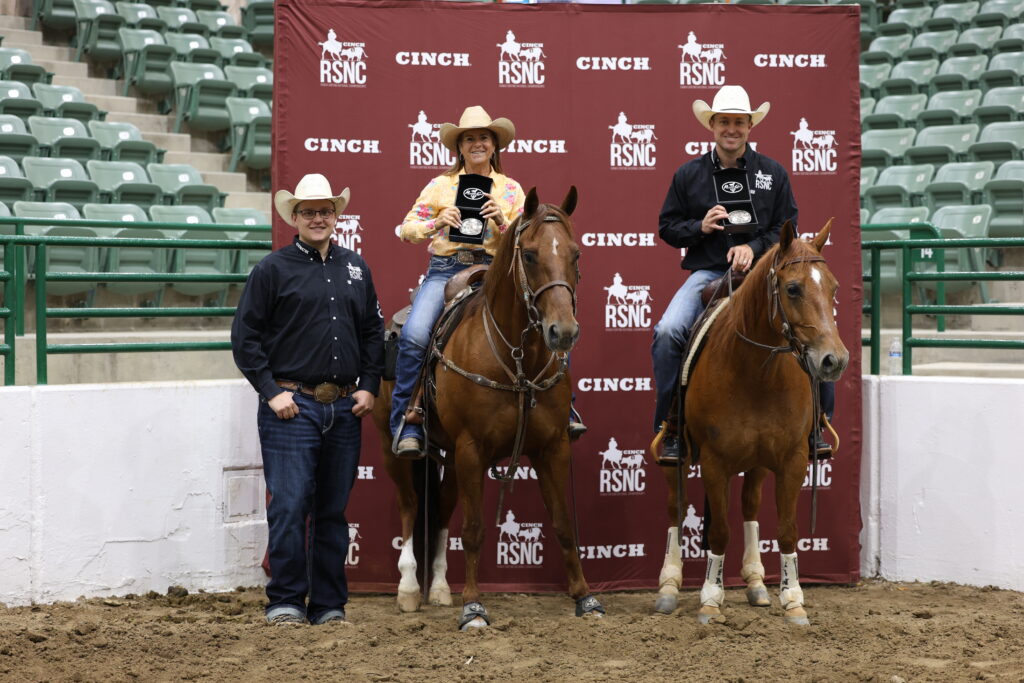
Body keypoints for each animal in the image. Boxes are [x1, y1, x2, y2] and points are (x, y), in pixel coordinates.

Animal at [371, 187, 604, 630]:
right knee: (410, 506)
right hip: (394, 446)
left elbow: (564, 524)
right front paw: (474, 607)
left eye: (577, 254)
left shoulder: (551, 448)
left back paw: (439, 588)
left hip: (447, 454)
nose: (563, 332)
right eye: (529, 255)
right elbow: (475, 529)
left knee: (441, 509)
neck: (517, 359)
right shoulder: (471, 449)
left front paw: (585, 598)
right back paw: (409, 589)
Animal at [652, 220, 848, 626]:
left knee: (750, 506)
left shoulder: (792, 461)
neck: (756, 372)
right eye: (793, 288)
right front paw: (711, 599)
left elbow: (786, 530)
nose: (833, 360)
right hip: (674, 461)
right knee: (675, 509)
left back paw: (756, 582)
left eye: (834, 287)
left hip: (757, 463)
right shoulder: (714, 463)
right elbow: (719, 533)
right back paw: (669, 586)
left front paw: (793, 598)